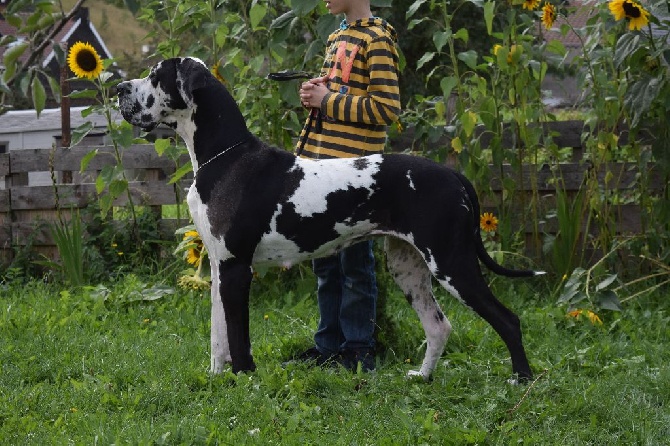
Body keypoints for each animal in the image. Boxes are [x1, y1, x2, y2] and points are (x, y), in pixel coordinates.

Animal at [117, 57, 544, 382]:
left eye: (156, 75)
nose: (119, 87)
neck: (226, 155)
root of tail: (455, 176)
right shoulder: (221, 267)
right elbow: (217, 335)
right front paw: (217, 378)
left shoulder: (237, 269)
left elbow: (238, 338)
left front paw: (244, 380)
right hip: (408, 266)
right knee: (439, 326)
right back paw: (422, 377)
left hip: (452, 263)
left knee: (508, 319)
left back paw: (520, 380)